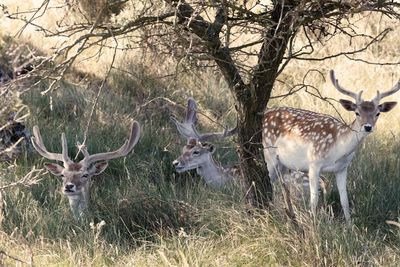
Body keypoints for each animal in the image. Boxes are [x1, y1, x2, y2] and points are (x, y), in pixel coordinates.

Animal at [264, 70, 398, 222]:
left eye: (378, 113)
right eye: (357, 112)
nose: (368, 127)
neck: (337, 151)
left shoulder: (342, 168)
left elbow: (344, 200)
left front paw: (349, 224)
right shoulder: (314, 163)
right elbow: (314, 200)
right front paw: (313, 222)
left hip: (283, 165)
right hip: (269, 154)